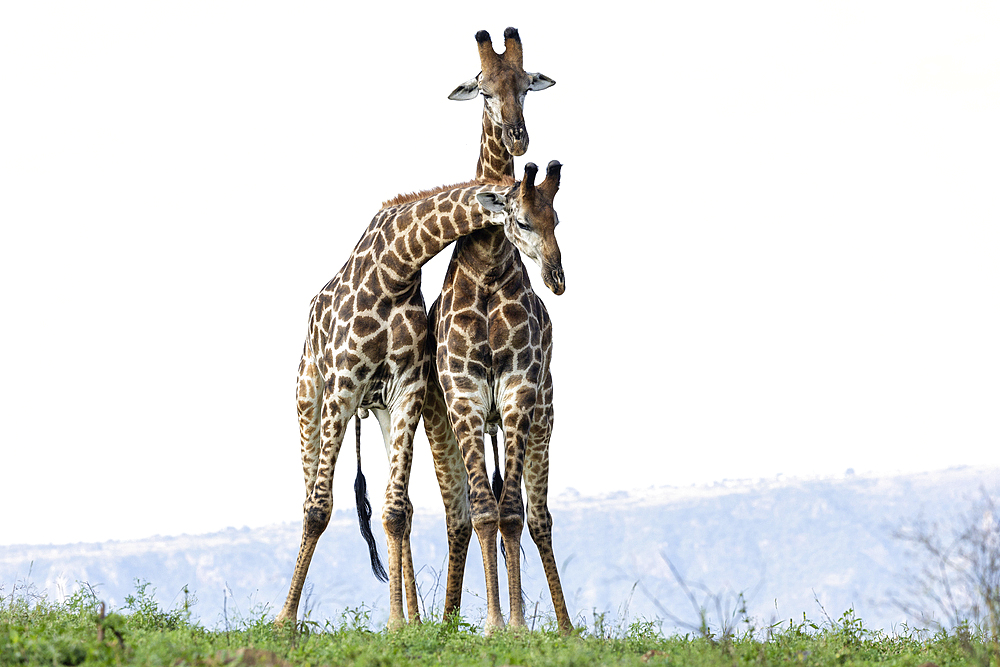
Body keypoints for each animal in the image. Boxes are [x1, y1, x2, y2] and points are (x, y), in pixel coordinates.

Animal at [274, 163, 568, 632]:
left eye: (555, 220)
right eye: (522, 222)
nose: (558, 279)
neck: (396, 268)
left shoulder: (407, 389)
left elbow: (395, 510)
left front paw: (398, 623)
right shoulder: (343, 383)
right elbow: (318, 508)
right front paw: (284, 621)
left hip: (381, 411)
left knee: (405, 508)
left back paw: (413, 617)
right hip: (310, 398)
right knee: (309, 494)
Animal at [422, 28, 576, 640]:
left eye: (526, 84)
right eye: (484, 89)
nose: (518, 134)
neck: (487, 265)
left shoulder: (516, 391)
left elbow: (512, 513)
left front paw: (514, 624)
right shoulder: (464, 397)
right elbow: (485, 512)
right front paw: (489, 623)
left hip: (542, 415)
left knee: (539, 516)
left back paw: (564, 626)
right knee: (462, 514)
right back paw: (447, 619)